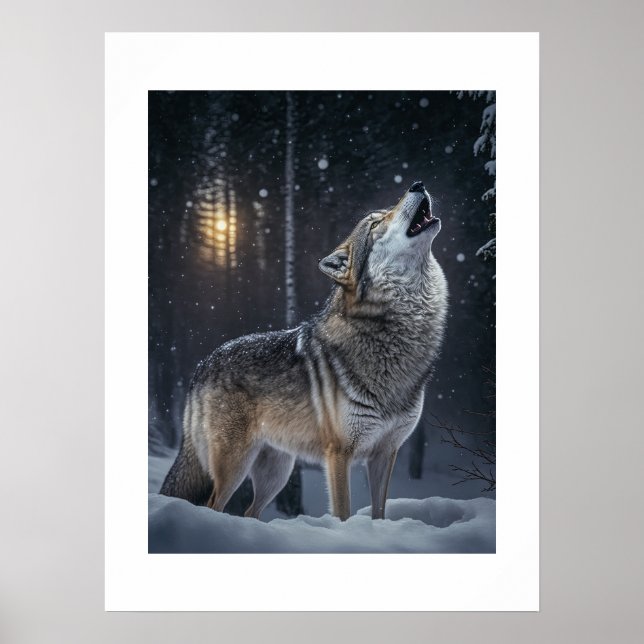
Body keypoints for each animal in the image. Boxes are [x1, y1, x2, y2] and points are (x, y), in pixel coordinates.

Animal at [160, 181, 448, 520]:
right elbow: (343, 513)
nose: (417, 184)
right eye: (376, 223)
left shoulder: (385, 453)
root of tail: (202, 364)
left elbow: (379, 513)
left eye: (386, 212)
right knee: (214, 506)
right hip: (235, 467)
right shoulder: (339, 454)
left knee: (249, 512)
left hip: (277, 473)